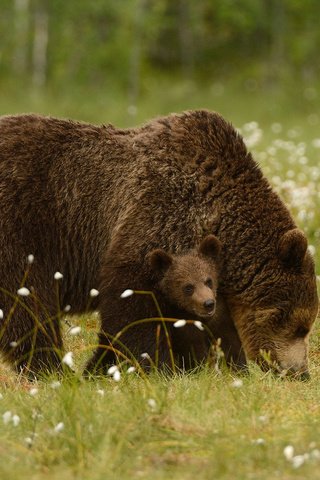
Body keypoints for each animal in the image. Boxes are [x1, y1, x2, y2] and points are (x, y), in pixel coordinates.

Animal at [0, 110, 316, 376]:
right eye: (299, 326)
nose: (299, 372)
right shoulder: (156, 218)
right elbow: (133, 311)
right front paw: (149, 366)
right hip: (22, 228)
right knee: (27, 305)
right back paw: (50, 368)